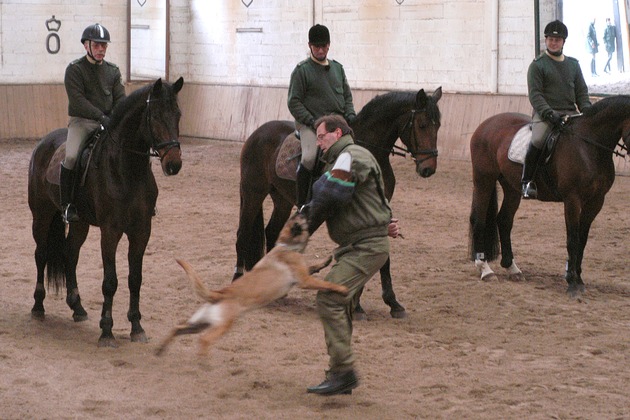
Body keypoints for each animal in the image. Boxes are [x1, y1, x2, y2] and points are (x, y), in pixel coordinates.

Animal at [28, 77, 185, 346]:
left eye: (178, 114)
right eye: (154, 116)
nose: (173, 164)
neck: (127, 169)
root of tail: (43, 143)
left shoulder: (141, 230)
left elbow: (135, 279)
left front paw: (136, 327)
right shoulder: (110, 231)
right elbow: (110, 281)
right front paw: (107, 330)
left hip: (79, 223)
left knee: (70, 254)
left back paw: (77, 307)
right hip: (41, 216)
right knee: (41, 254)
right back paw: (38, 306)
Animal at [156, 213, 348, 354]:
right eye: (297, 216)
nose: (305, 207)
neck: (286, 246)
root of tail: (220, 294)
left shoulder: (304, 272)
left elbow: (314, 266)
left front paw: (325, 261)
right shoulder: (305, 280)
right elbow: (326, 284)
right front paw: (341, 288)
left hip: (199, 323)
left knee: (178, 328)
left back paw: (161, 349)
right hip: (223, 324)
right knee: (204, 339)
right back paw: (203, 362)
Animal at [233, 88, 444, 318]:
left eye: (438, 126)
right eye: (422, 125)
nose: (428, 169)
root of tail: (258, 132)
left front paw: (393, 303)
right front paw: (358, 304)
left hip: (281, 199)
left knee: (271, 232)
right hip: (253, 192)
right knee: (244, 232)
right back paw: (239, 279)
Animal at [470, 96, 630, 298]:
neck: (589, 147)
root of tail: (486, 124)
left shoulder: (596, 202)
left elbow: (582, 240)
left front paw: (578, 279)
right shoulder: (572, 199)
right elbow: (572, 239)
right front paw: (572, 282)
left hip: (512, 187)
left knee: (504, 220)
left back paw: (513, 269)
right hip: (484, 179)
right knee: (479, 220)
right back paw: (485, 269)